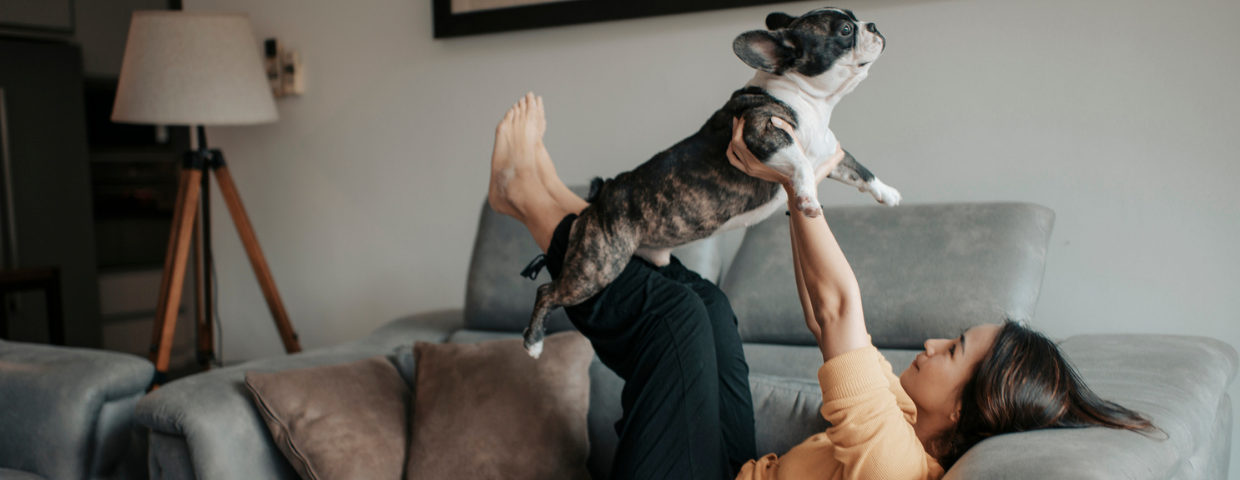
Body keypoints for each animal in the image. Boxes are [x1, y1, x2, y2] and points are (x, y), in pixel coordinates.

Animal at [523, 7, 902, 359]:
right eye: (845, 30)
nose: (872, 25)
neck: (811, 101)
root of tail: (600, 195)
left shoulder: (829, 154)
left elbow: (859, 169)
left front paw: (888, 193)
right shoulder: (761, 131)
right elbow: (802, 165)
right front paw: (807, 198)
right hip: (597, 267)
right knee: (548, 291)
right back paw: (534, 343)